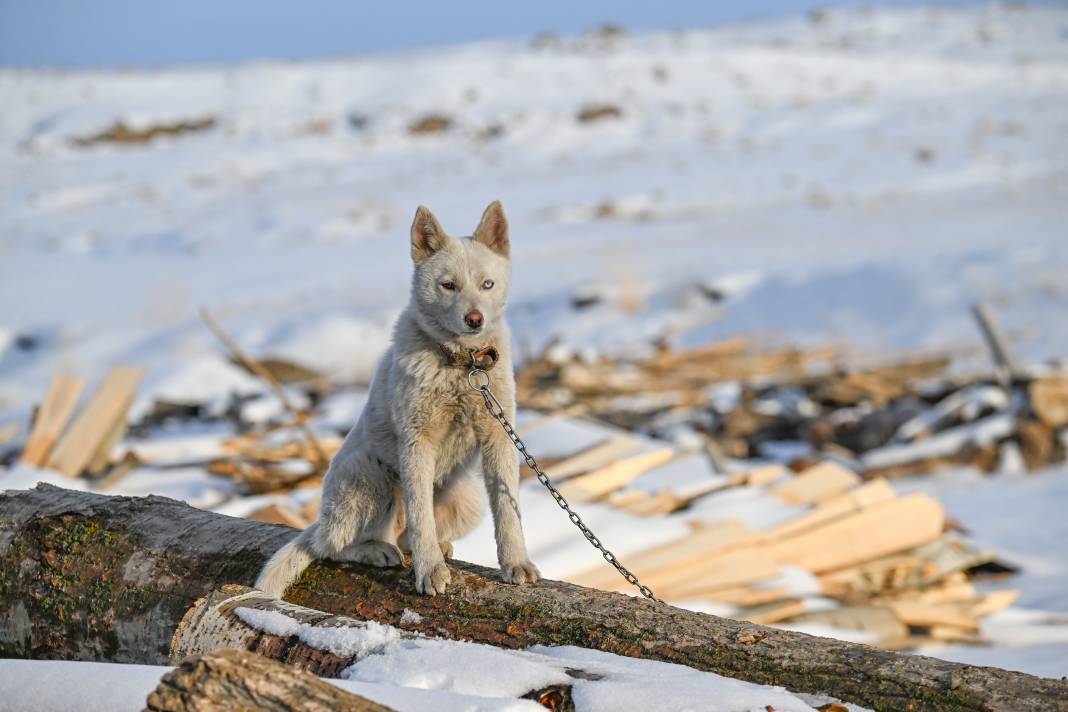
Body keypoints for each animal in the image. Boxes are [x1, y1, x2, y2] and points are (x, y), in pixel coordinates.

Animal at [256, 200, 542, 597]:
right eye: (448, 285)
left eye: (487, 284)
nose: (475, 319)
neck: (461, 366)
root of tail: (321, 521)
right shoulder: (416, 444)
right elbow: (422, 520)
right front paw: (429, 572)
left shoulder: (498, 437)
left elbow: (507, 510)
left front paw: (516, 563)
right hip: (371, 480)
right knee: (331, 546)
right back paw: (376, 550)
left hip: (465, 498)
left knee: (404, 537)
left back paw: (433, 546)